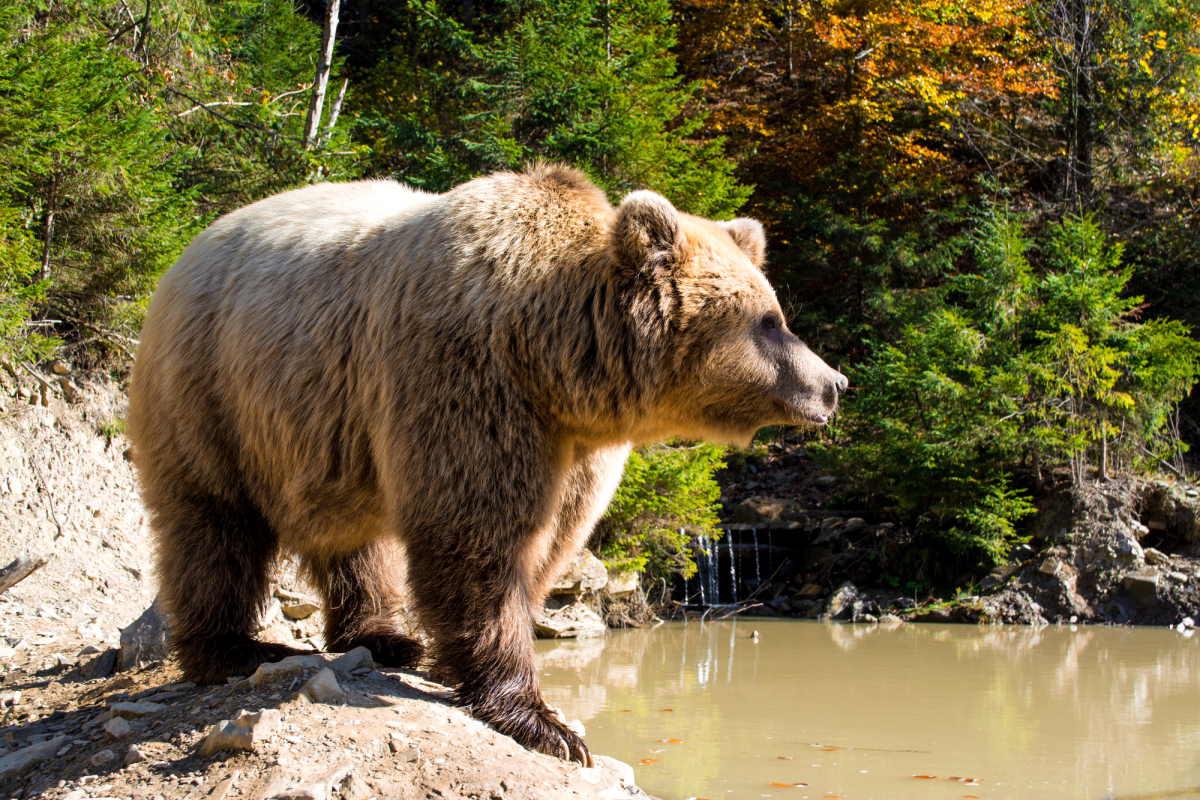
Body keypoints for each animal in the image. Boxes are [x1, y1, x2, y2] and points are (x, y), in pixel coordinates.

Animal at [126, 164, 849, 762]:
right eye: (770, 320)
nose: (833, 384)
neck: (554, 359)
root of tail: (187, 252)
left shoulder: (573, 445)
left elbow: (548, 543)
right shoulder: (468, 381)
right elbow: (477, 538)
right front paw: (542, 722)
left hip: (324, 430)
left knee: (353, 538)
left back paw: (384, 635)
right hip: (212, 389)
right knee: (212, 527)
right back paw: (232, 648)